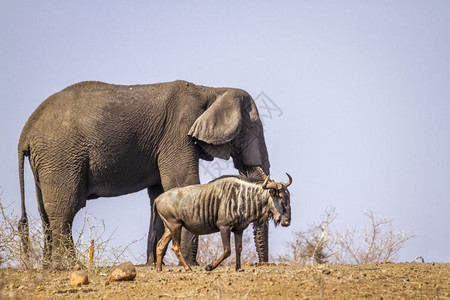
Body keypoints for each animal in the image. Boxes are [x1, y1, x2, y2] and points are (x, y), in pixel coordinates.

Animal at [17, 79, 270, 268]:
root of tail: (26, 132)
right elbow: (182, 182)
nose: (261, 264)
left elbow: (158, 195)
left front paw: (154, 265)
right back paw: (70, 266)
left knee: (45, 212)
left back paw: (50, 267)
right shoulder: (178, 135)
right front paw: (192, 265)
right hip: (61, 157)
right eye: (254, 127)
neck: (211, 90)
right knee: (64, 209)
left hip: (48, 162)